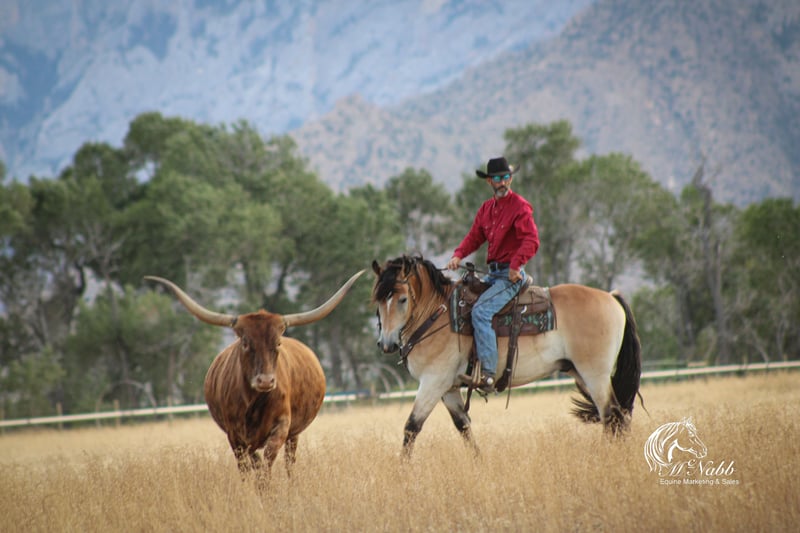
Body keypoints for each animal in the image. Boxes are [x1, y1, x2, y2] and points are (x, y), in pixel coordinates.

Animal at [145, 270, 364, 475]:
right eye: (245, 343)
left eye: (278, 342)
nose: (265, 381)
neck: (254, 402)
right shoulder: (235, 436)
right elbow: (249, 466)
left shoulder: (282, 426)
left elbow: (267, 461)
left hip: (294, 434)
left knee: (289, 462)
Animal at [371, 254, 642, 457]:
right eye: (378, 301)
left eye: (402, 299)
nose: (387, 344)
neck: (437, 314)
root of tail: (611, 297)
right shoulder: (448, 388)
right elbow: (464, 427)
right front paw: (478, 463)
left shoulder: (433, 381)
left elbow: (412, 427)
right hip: (581, 374)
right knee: (618, 417)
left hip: (595, 375)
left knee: (611, 415)